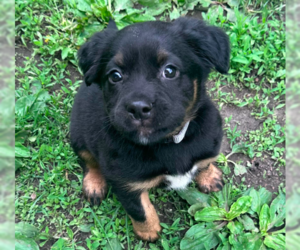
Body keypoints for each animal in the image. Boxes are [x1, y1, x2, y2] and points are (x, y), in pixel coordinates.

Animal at [70, 17, 230, 240]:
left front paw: (209, 175)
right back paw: (94, 184)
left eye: (169, 71)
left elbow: (205, 162)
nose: (138, 108)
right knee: (88, 161)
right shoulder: (125, 182)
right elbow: (140, 210)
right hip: (78, 135)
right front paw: (149, 232)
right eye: (115, 76)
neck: (169, 142)